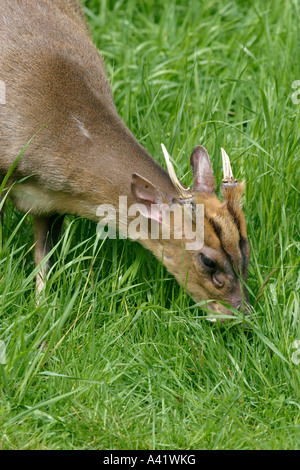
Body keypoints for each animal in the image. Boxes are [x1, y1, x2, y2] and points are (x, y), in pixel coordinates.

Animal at [0, 0, 251, 320]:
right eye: (208, 260)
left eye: (245, 247)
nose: (242, 316)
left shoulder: (48, 205)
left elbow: (44, 263)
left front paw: (44, 313)